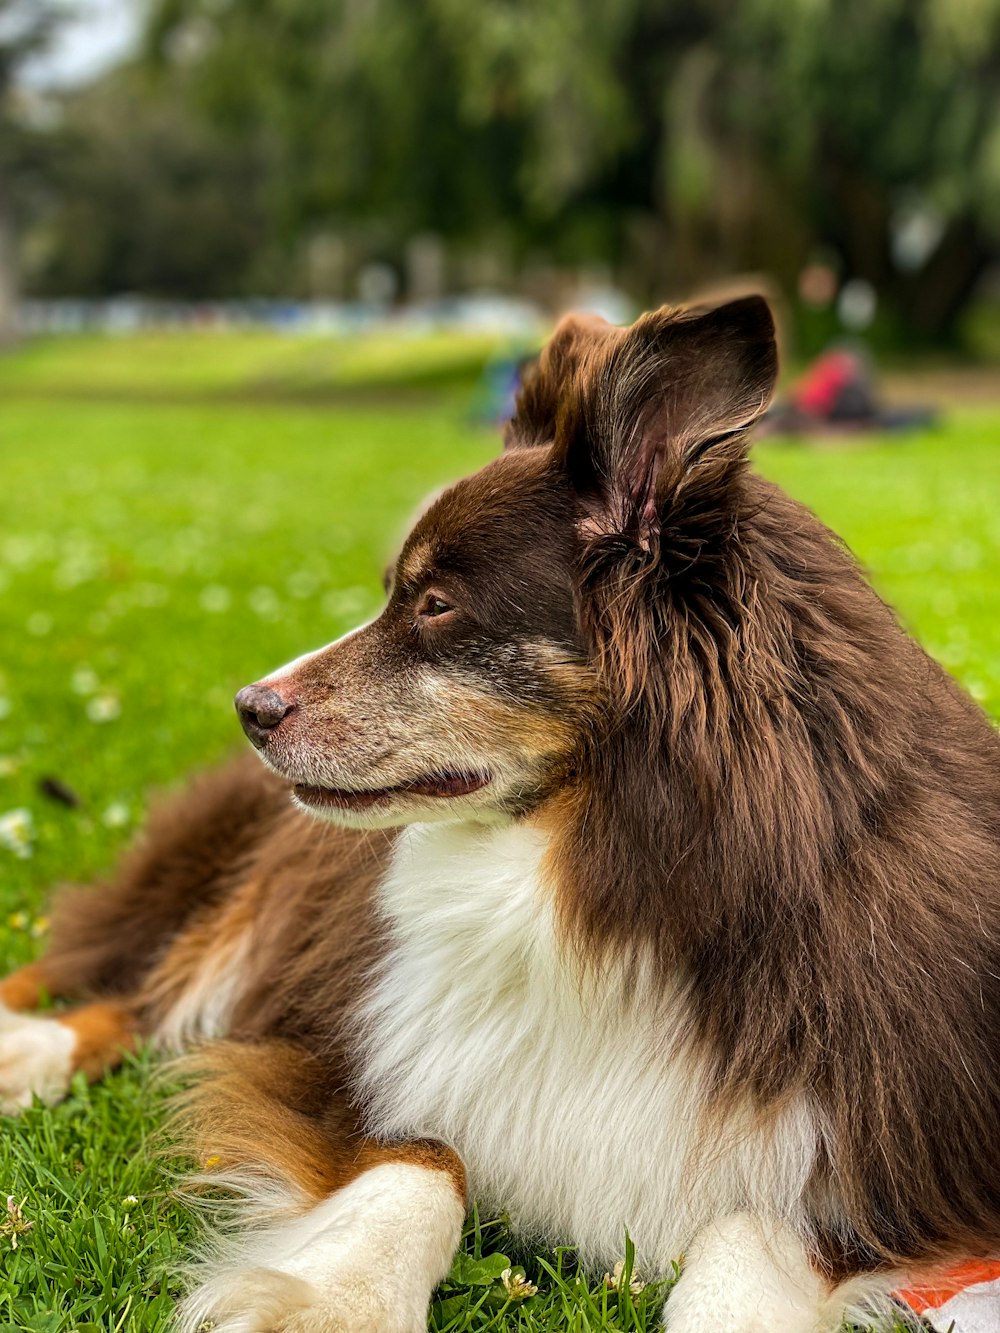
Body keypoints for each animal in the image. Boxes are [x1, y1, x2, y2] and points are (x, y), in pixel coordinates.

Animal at [1, 294, 1000, 1333]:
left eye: (437, 604)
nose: (249, 707)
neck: (607, 885)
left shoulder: (898, 1165)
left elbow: (750, 1233)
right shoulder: (340, 1045)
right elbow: (425, 1154)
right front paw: (340, 1299)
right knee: (128, 983)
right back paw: (23, 1052)